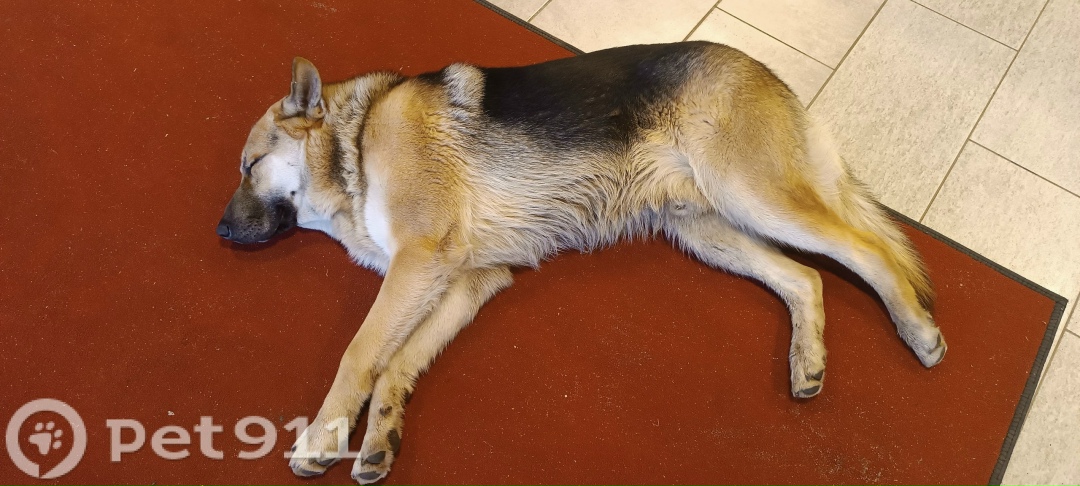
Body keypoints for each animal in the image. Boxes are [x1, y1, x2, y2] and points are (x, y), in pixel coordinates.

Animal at [216, 41, 946, 483]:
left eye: (249, 166)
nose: (220, 232)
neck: (360, 139)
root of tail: (759, 67)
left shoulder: (420, 262)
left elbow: (361, 353)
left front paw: (323, 436)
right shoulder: (463, 281)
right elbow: (399, 361)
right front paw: (379, 436)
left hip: (754, 196)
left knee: (866, 252)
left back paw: (916, 328)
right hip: (705, 231)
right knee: (807, 277)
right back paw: (807, 360)